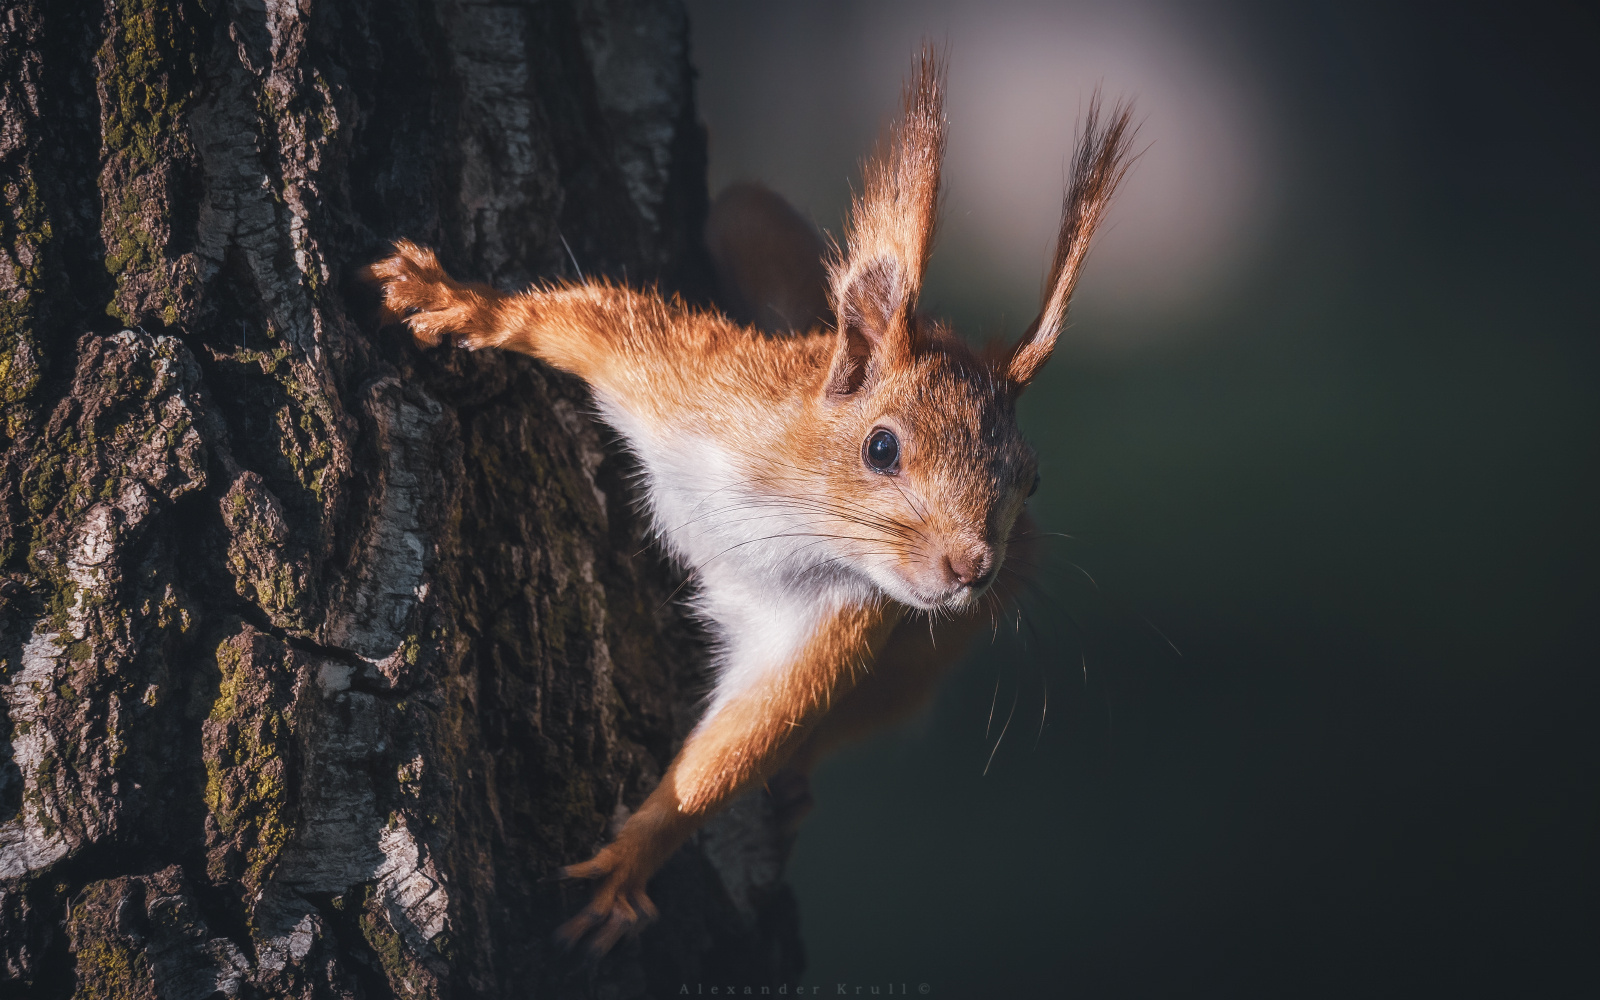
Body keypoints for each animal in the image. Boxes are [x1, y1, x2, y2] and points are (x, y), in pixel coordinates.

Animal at [365, 49, 1135, 955]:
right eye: (881, 448)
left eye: (1031, 479)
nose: (973, 569)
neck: (790, 516)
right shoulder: (690, 386)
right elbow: (584, 323)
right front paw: (462, 301)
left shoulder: (838, 624)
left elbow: (744, 741)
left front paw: (634, 859)